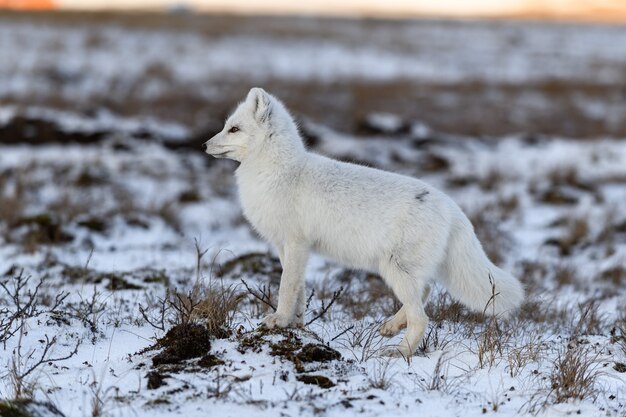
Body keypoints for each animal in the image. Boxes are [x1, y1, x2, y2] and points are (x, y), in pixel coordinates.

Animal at [202, 88, 524, 358]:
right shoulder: (287, 247)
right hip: (401, 269)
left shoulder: (296, 243)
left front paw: (278, 320)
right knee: (426, 292)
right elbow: (299, 290)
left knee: (422, 315)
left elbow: (286, 286)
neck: (278, 171)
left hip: (396, 269)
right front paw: (296, 324)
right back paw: (391, 326)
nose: (204, 145)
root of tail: (453, 207)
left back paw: (399, 352)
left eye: (233, 129)